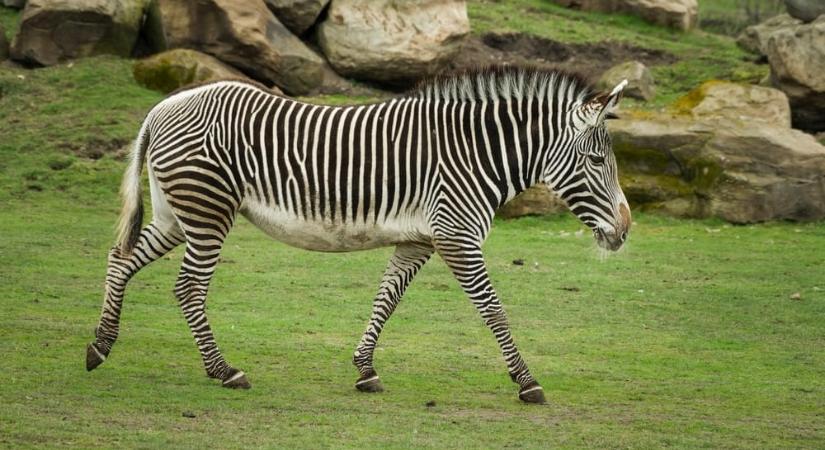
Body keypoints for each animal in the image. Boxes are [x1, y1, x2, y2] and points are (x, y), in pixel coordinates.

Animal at [86, 67, 631, 404]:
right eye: (596, 160)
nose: (626, 230)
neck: (475, 154)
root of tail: (164, 105)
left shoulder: (419, 240)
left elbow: (386, 299)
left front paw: (365, 369)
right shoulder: (456, 235)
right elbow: (493, 309)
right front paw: (527, 383)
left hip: (177, 213)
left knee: (120, 258)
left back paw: (100, 346)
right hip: (207, 211)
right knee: (188, 288)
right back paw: (224, 371)